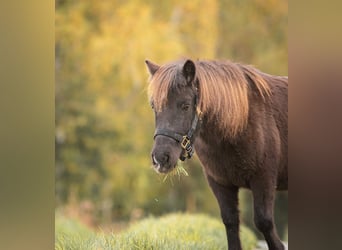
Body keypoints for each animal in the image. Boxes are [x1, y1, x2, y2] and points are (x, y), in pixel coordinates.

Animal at [144, 59, 286, 250]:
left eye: (185, 105)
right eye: (154, 106)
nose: (160, 158)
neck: (242, 122)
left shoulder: (264, 179)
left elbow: (264, 222)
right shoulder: (220, 183)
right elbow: (231, 222)